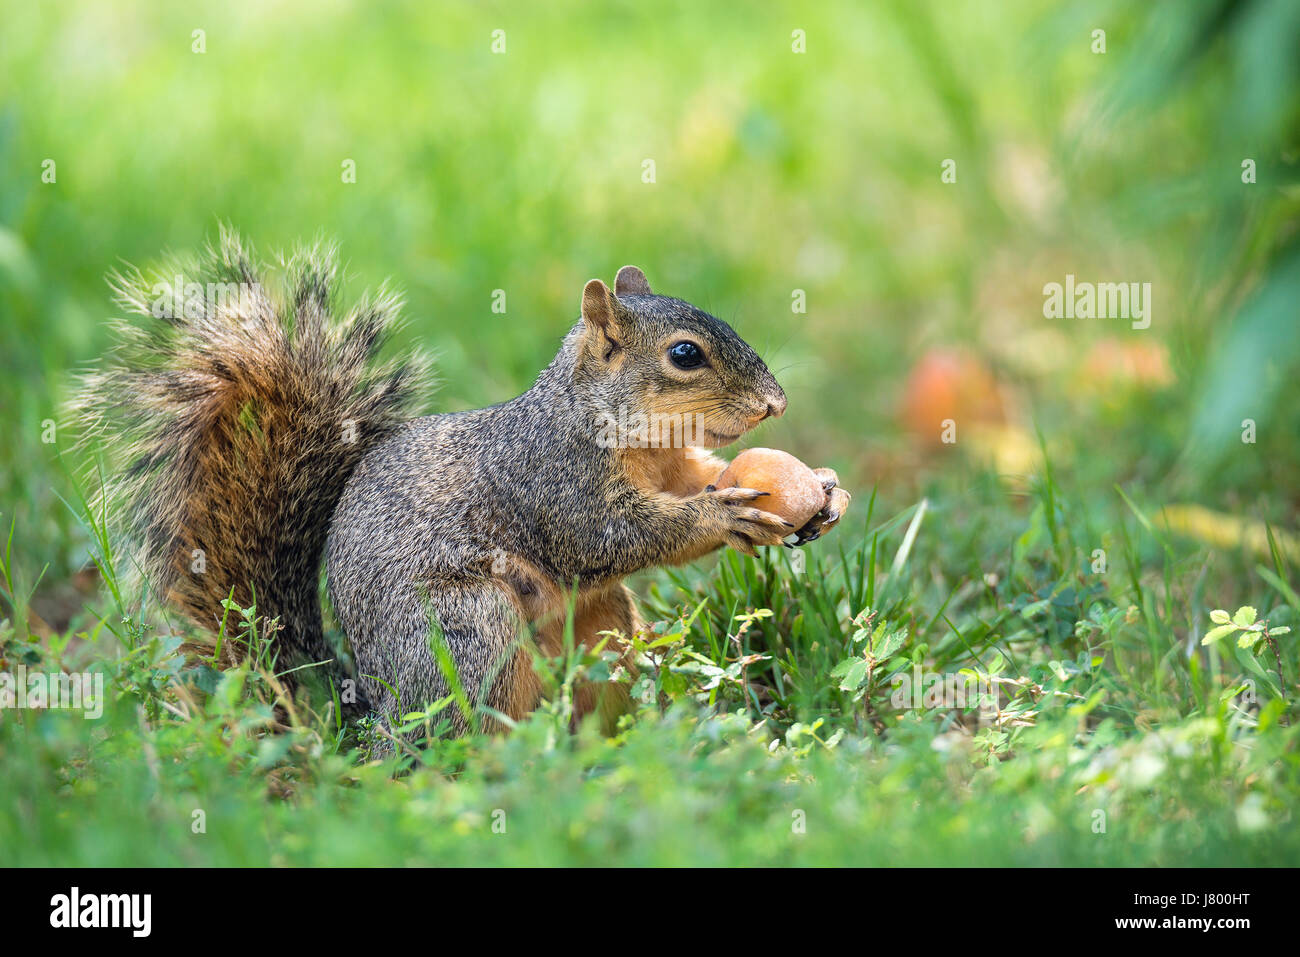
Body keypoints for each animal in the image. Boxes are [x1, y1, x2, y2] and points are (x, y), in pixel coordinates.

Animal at [81, 230, 852, 733]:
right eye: (685, 355)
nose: (776, 403)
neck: (630, 440)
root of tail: (367, 716)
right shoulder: (552, 481)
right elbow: (610, 536)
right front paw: (722, 518)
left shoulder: (678, 466)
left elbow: (702, 479)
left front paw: (824, 487)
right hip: (468, 629)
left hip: (604, 628)